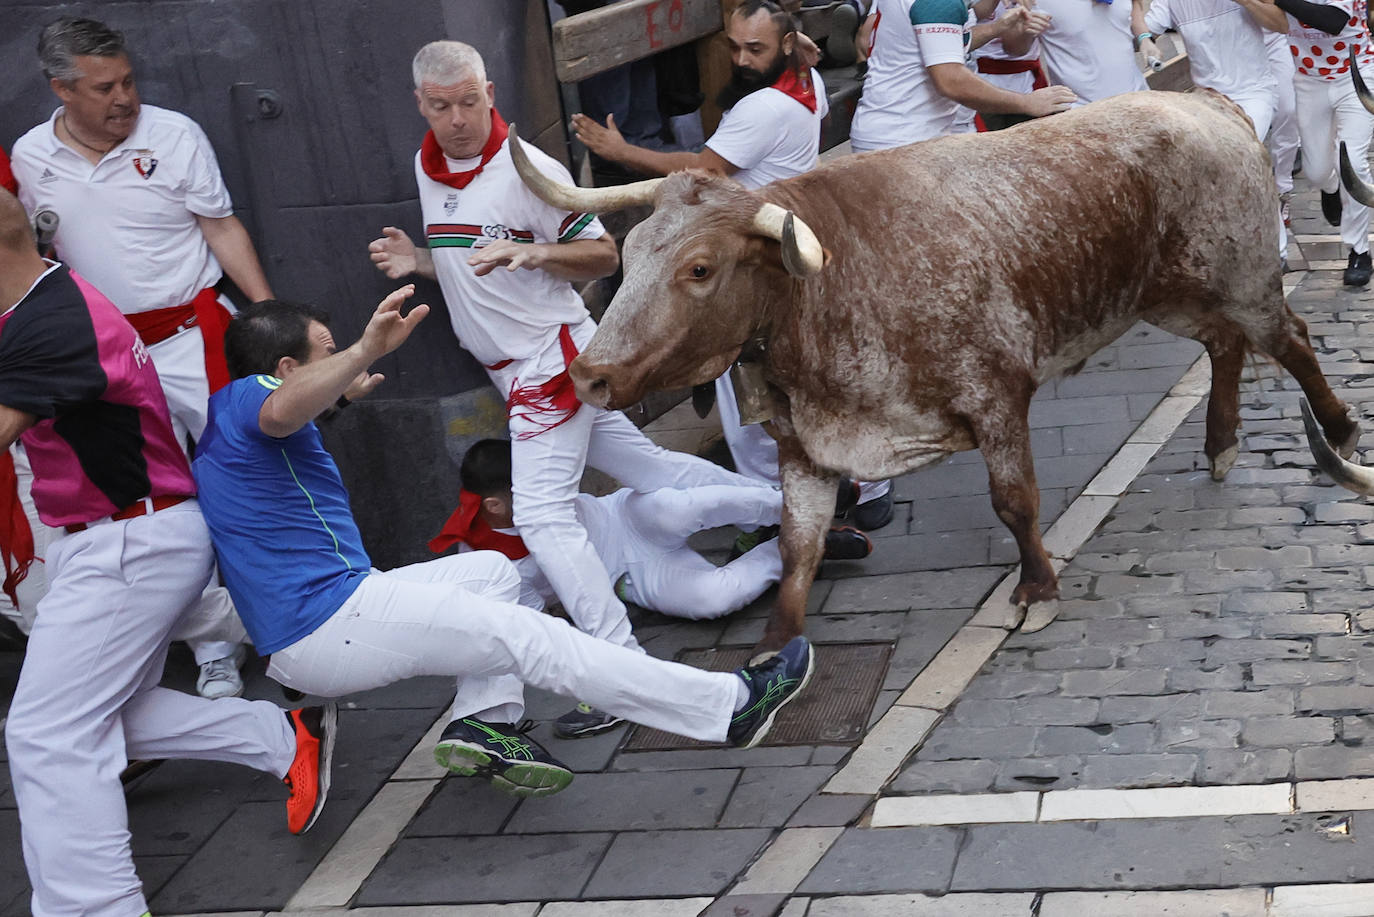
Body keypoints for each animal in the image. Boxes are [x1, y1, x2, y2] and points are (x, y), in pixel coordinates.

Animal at [511, 91, 1357, 651]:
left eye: (699, 267)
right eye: (629, 252)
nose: (591, 375)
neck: (828, 287)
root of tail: (1202, 100)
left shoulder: (996, 396)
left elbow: (1015, 500)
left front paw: (1037, 587)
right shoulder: (806, 447)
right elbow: (795, 544)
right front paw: (778, 645)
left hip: (1242, 278)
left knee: (1291, 338)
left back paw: (1339, 430)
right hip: (1170, 295)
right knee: (1225, 347)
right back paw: (1221, 443)